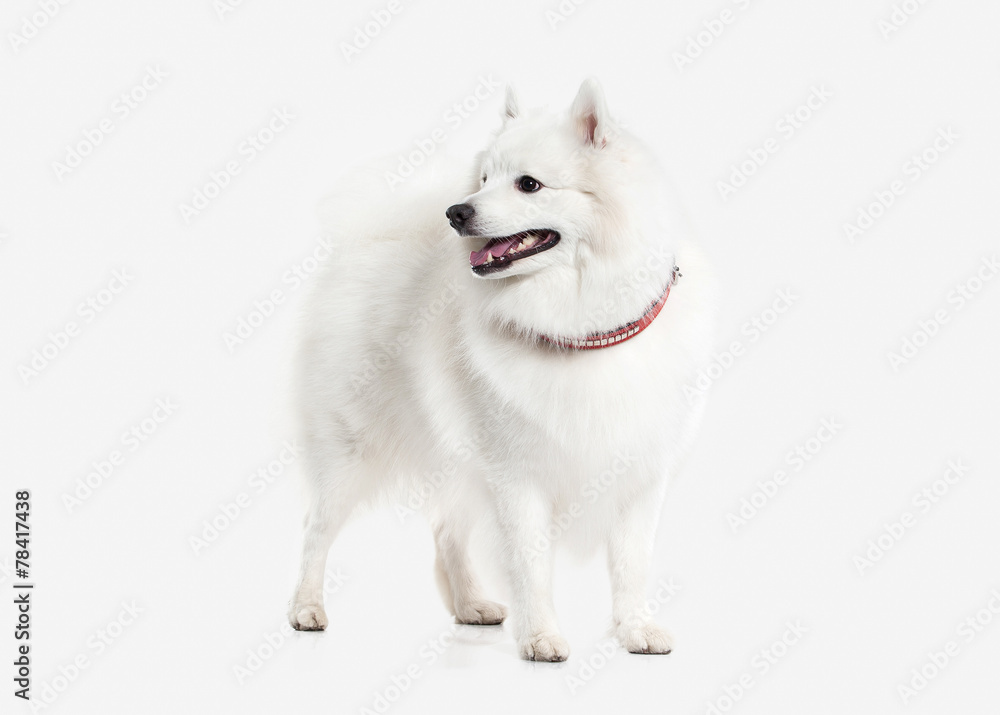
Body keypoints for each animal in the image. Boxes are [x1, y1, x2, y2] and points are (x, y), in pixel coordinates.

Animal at [288, 77, 712, 660]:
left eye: (528, 184)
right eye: (485, 179)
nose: (456, 212)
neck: (582, 328)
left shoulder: (639, 470)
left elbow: (632, 563)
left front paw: (635, 628)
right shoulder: (517, 473)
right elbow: (531, 565)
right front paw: (541, 637)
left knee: (446, 531)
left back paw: (470, 604)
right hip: (353, 449)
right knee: (315, 526)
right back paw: (306, 607)